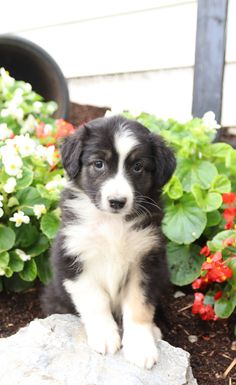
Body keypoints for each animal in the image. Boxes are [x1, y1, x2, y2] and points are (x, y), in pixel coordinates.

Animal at [41, 115, 176, 368]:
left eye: (137, 167)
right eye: (99, 164)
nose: (117, 202)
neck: (112, 223)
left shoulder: (146, 261)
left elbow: (139, 306)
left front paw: (140, 346)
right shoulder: (74, 257)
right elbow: (95, 300)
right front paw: (105, 337)